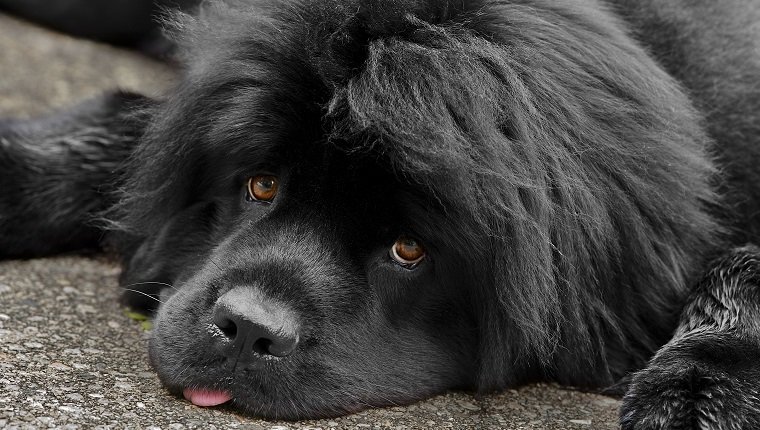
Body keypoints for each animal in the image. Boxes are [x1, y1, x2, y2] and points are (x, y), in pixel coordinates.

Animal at [1, 0, 760, 426]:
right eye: (261, 185)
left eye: (409, 249)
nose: (248, 328)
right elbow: (131, 132)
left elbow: (743, 265)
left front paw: (705, 383)